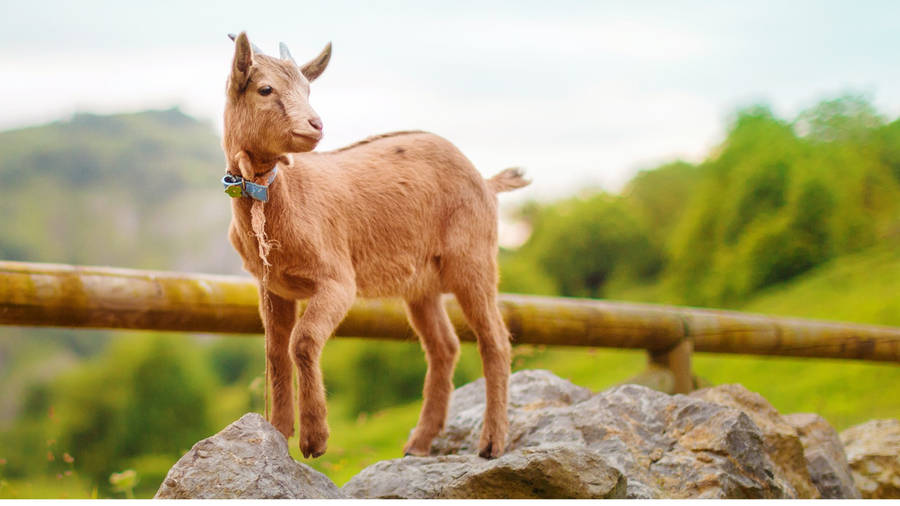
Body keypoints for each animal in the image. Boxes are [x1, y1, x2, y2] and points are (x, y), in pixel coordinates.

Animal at [221, 31, 528, 458]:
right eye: (265, 89)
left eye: (308, 89)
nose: (315, 125)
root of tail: (486, 181)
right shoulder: (273, 287)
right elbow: (275, 352)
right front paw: (279, 432)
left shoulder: (337, 279)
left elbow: (303, 340)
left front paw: (314, 440)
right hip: (423, 285)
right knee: (444, 346)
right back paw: (419, 442)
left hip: (474, 258)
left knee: (495, 339)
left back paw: (491, 443)